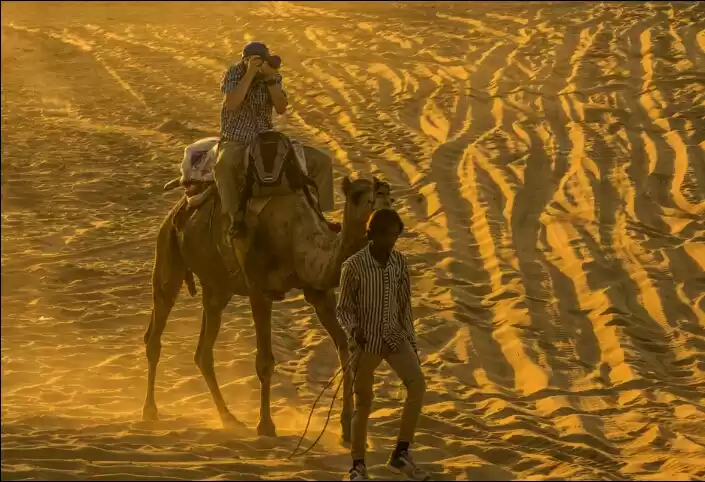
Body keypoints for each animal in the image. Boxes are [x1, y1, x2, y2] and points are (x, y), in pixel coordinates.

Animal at [141, 144, 393, 444]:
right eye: (356, 195)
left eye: (388, 195)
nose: (383, 193)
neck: (294, 234)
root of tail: (178, 208)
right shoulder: (258, 290)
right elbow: (264, 362)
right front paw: (266, 426)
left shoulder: (319, 290)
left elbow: (345, 347)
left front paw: (347, 428)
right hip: (168, 252)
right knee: (156, 328)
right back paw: (150, 411)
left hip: (217, 287)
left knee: (203, 350)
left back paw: (229, 418)